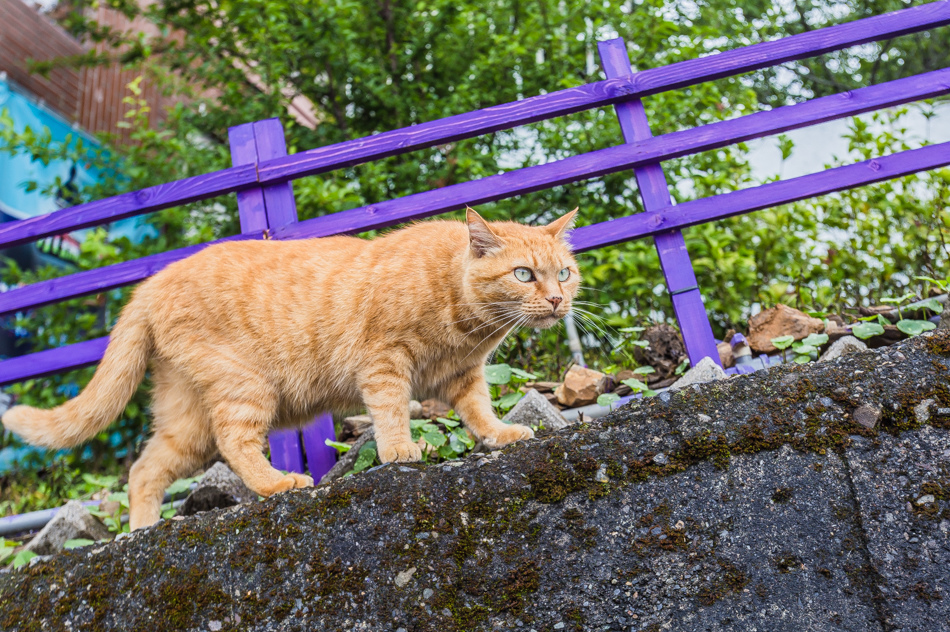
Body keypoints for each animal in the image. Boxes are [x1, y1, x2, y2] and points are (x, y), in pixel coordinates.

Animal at [1, 209, 580, 528]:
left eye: (564, 273)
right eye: (523, 275)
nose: (556, 301)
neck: (464, 323)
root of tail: (151, 281)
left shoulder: (464, 376)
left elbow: (480, 411)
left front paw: (501, 435)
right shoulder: (385, 361)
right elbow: (392, 411)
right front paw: (400, 451)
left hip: (185, 420)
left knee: (144, 470)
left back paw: (140, 531)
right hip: (244, 387)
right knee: (235, 444)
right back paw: (281, 484)